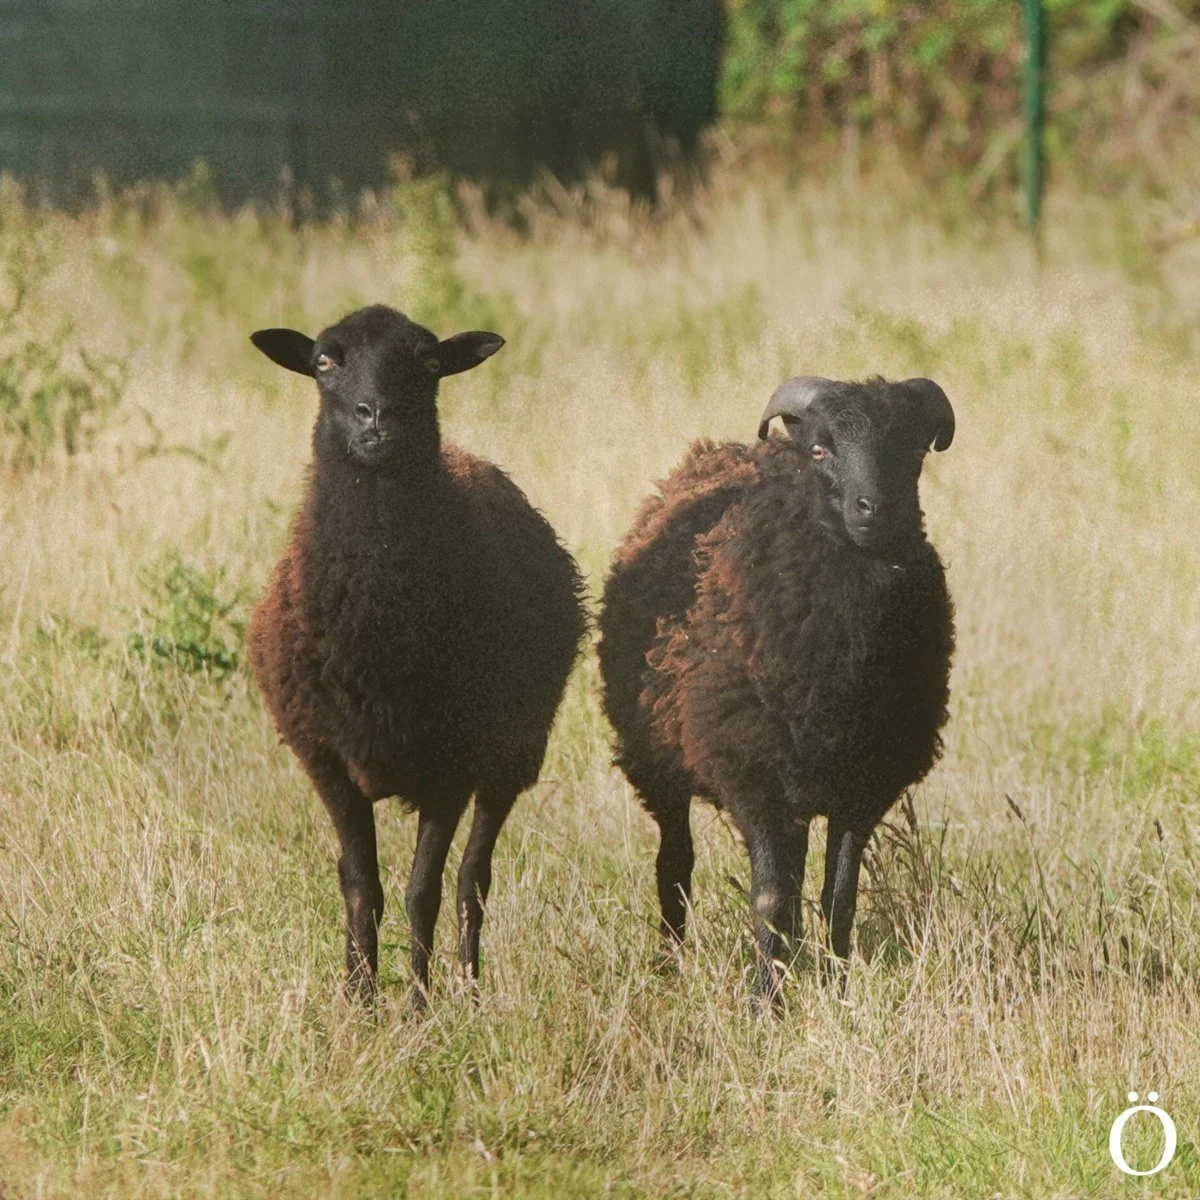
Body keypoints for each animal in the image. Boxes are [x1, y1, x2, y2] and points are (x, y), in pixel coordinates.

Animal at [247, 304, 587, 1006]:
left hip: (513, 754)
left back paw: (469, 985)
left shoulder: (452, 767)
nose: (375, 415)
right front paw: (358, 1000)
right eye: (324, 360)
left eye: (428, 362)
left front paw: (420, 1006)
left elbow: (421, 892)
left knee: (473, 879)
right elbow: (361, 889)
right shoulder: (327, 761)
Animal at [597, 375, 955, 1007]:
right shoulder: (755, 776)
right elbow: (770, 901)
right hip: (658, 762)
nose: (874, 509)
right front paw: (768, 1004)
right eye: (819, 449)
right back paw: (670, 965)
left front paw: (838, 990)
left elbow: (839, 899)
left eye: (912, 451)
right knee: (675, 866)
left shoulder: (862, 787)